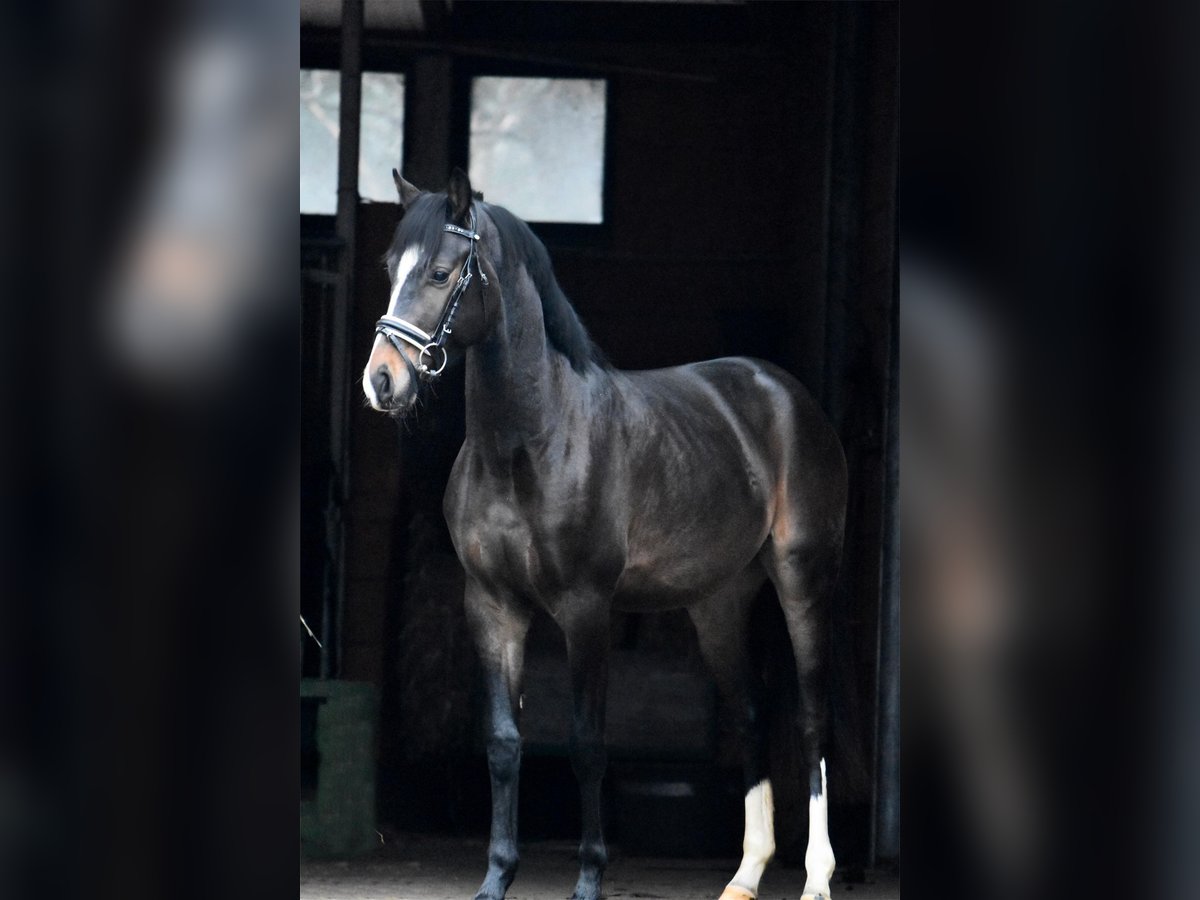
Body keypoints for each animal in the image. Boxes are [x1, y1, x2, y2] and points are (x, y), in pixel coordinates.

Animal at [362, 169, 844, 900]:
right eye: (392, 269)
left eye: (442, 273)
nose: (382, 381)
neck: (530, 443)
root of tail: (784, 394)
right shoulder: (492, 607)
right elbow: (503, 742)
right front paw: (496, 879)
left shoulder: (586, 610)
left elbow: (588, 744)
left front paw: (589, 879)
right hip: (718, 603)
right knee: (751, 713)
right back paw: (745, 874)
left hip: (801, 582)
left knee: (813, 716)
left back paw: (816, 877)